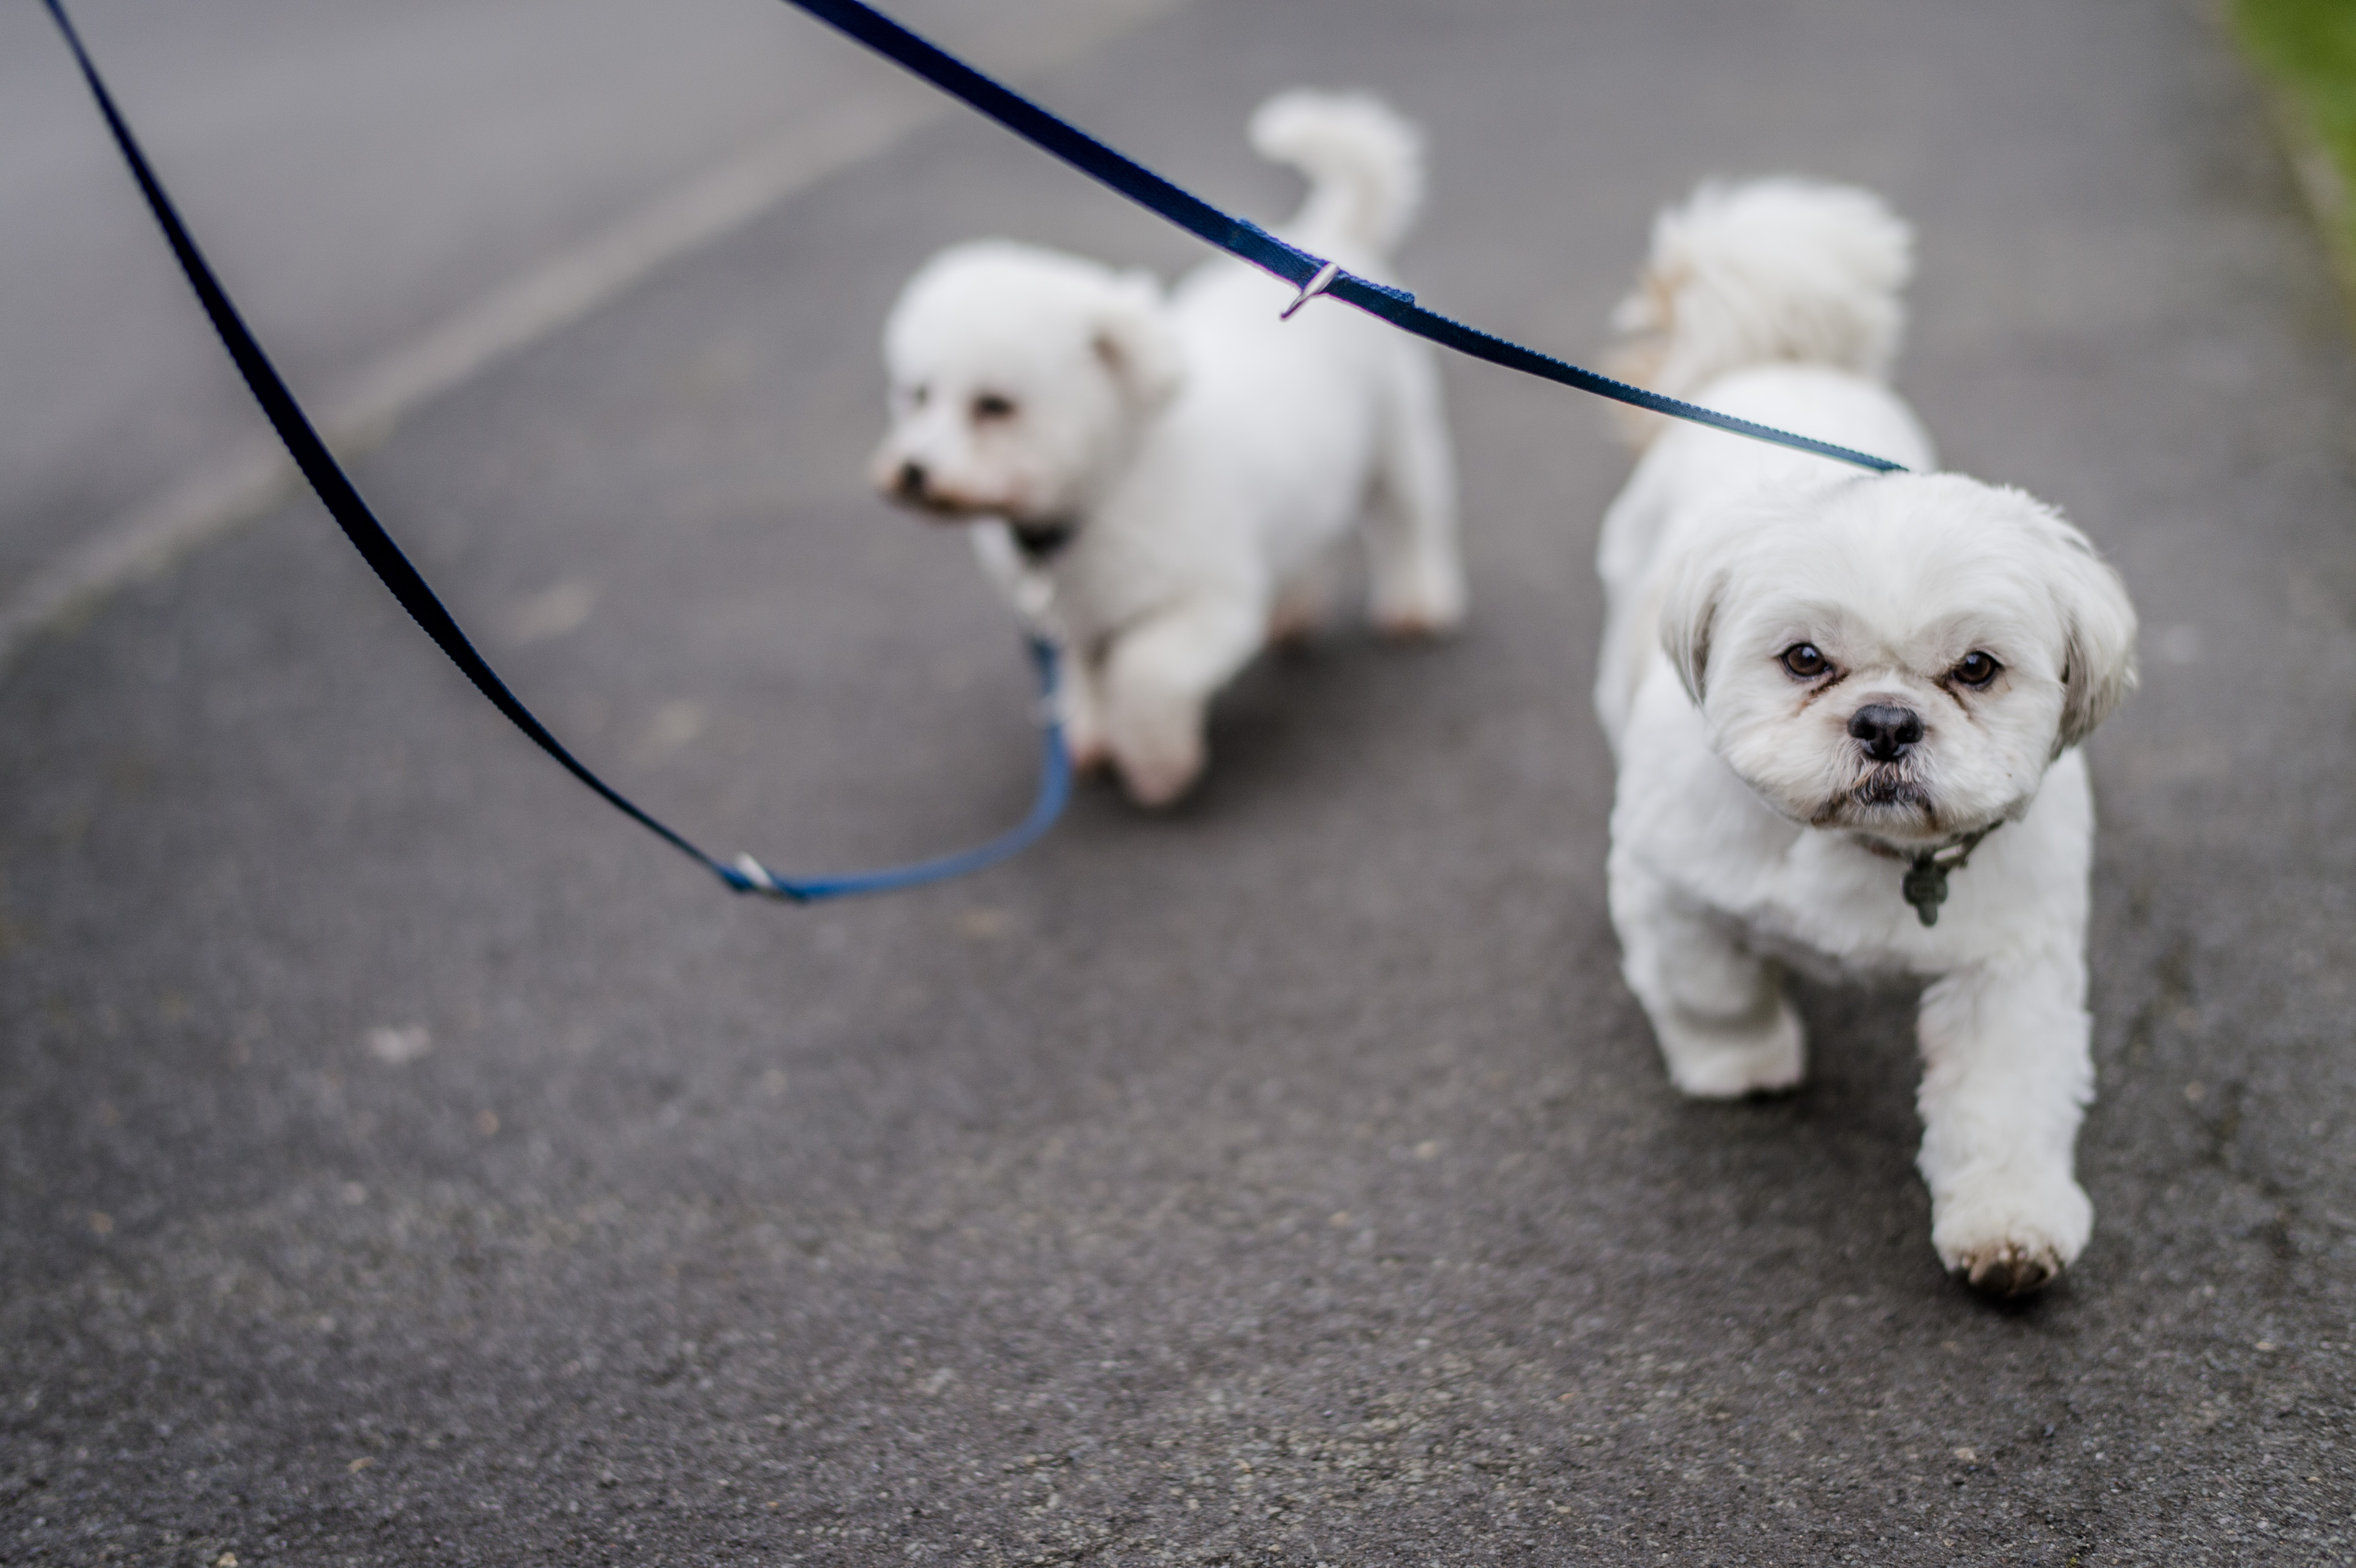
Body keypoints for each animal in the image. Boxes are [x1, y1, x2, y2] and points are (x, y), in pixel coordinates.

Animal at [876, 90, 1461, 805]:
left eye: (995, 405)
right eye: (918, 395)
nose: (913, 471)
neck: (1107, 488)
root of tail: (1333, 245)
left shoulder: (1208, 607)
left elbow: (1141, 675)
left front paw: (1158, 768)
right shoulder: (1074, 621)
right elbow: (1087, 677)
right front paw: (1092, 739)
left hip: (1399, 447)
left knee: (1409, 522)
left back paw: (1417, 602)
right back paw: (1296, 611)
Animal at [1602, 176, 2139, 1290]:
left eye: (1975, 670)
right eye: (1806, 659)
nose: (1887, 722)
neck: (1865, 851)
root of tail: (1779, 359)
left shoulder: (2011, 967)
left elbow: (2004, 1105)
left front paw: (2008, 1227)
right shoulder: (1663, 881)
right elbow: (1710, 983)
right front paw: (1740, 1062)